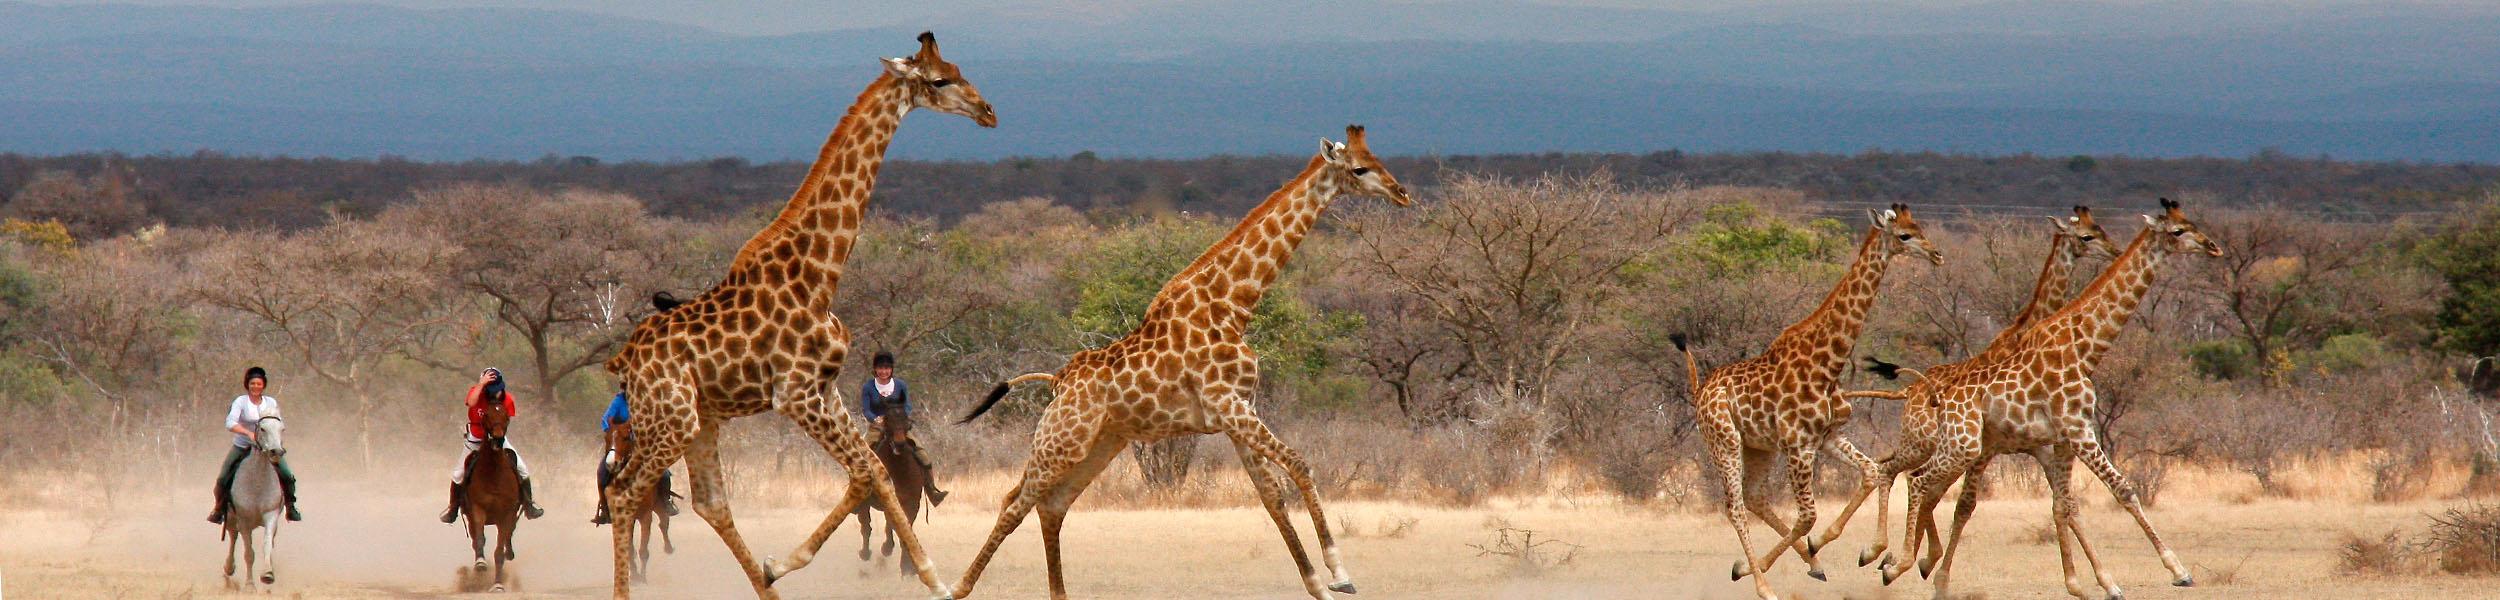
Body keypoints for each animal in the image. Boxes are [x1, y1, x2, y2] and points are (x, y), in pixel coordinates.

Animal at [598, 32, 995, 600]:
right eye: (940, 80)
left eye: (961, 69)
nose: (988, 112)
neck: (820, 276)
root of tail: (624, 361)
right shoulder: (795, 394)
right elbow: (863, 473)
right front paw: (785, 562)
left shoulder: (827, 390)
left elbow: (873, 471)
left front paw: (936, 580)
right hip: (669, 419)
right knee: (626, 493)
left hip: (700, 419)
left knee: (710, 503)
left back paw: (767, 589)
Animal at [949, 125, 1411, 600]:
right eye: (1360, 168)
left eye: (1378, 159)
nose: (1403, 193)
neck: (1232, 307)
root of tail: (1058, 380)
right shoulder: (1228, 406)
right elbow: (1300, 466)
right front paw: (1340, 573)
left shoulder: (1239, 410)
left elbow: (1271, 496)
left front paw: (1320, 585)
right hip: (1061, 441)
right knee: (1014, 502)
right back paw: (956, 587)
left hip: (1100, 444)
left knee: (1052, 505)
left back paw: (1057, 594)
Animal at [1670, 204, 1943, 600]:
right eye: (1905, 235)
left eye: (1919, 227)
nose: (1937, 255)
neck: (1827, 363)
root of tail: (1700, 392)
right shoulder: (1799, 445)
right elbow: (1809, 515)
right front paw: (1819, 548)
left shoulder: (1827, 436)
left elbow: (1872, 472)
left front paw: (1866, 551)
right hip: (1725, 441)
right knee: (1735, 507)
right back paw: (1765, 584)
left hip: (1759, 446)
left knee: (1754, 497)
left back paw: (1796, 565)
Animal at [1812, 206, 2118, 571]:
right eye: (2088, 236)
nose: (2115, 251)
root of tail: (1907, 392)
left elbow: (2064, 502)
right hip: (1925, 444)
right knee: (1900, 474)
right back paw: (1887, 553)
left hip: (1926, 446)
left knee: (1899, 471)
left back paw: (1897, 554)